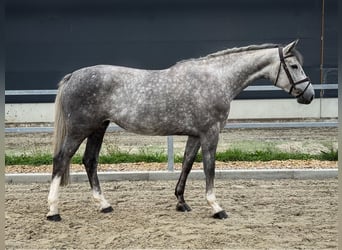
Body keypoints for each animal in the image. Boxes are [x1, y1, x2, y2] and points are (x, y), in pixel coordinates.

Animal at [46, 40, 314, 222]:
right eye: (293, 65)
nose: (309, 95)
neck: (216, 79)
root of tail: (73, 77)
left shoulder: (195, 135)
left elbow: (187, 163)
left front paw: (181, 202)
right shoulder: (210, 134)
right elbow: (208, 168)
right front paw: (216, 207)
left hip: (98, 128)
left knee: (90, 161)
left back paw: (104, 205)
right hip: (80, 129)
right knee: (61, 159)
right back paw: (53, 211)